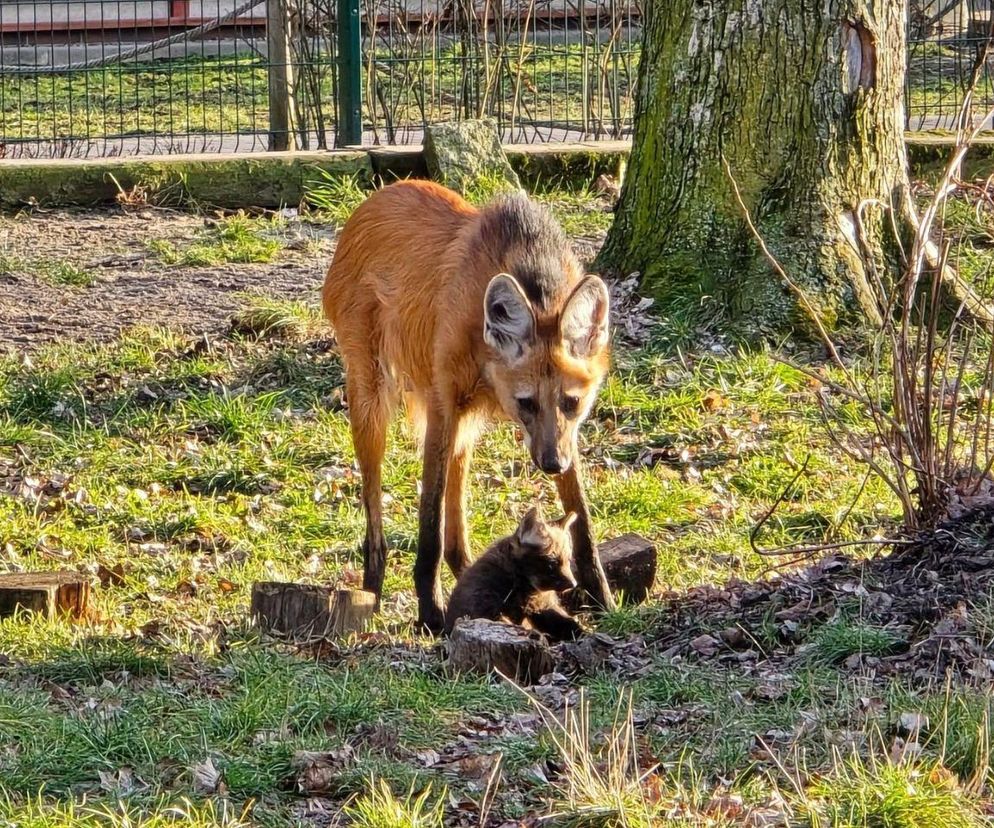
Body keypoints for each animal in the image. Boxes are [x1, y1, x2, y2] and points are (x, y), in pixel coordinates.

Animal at [442, 508, 580, 644]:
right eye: (553, 563)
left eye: (568, 561)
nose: (573, 584)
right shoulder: (482, 609)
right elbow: (508, 624)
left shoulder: (544, 606)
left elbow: (571, 623)